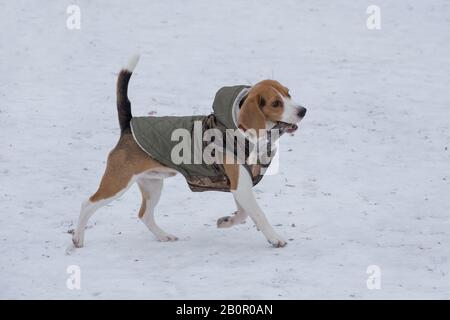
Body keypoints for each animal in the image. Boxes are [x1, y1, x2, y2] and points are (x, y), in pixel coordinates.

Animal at [73, 55, 306, 248]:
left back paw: (163, 236)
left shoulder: (241, 185)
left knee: (144, 215)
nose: (303, 110)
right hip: (117, 182)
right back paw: (77, 238)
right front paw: (275, 238)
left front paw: (226, 222)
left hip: (152, 185)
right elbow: (258, 214)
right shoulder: (241, 185)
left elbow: (242, 214)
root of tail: (127, 126)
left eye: (288, 93)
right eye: (276, 103)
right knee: (87, 204)